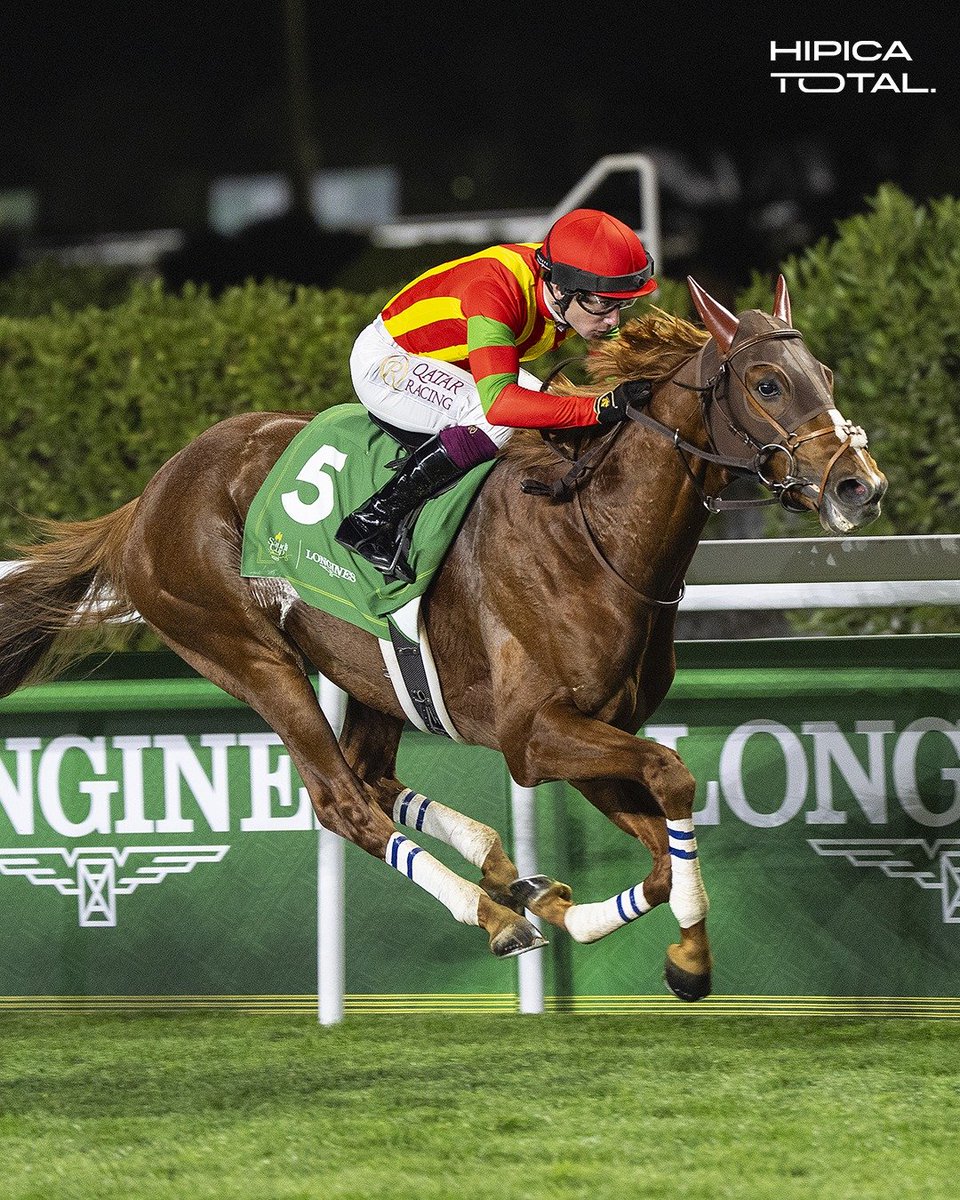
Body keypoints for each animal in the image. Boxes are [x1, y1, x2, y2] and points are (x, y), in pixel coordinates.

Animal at [0, 276, 886, 1002]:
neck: (592, 531)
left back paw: (506, 875)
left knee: (371, 778)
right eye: (768, 383)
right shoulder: (536, 734)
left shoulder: (595, 730)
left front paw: (604, 923)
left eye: (827, 377)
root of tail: (147, 499)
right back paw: (493, 913)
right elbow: (673, 777)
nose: (860, 486)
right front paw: (683, 957)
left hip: (369, 669)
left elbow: (667, 855)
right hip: (247, 653)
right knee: (343, 802)